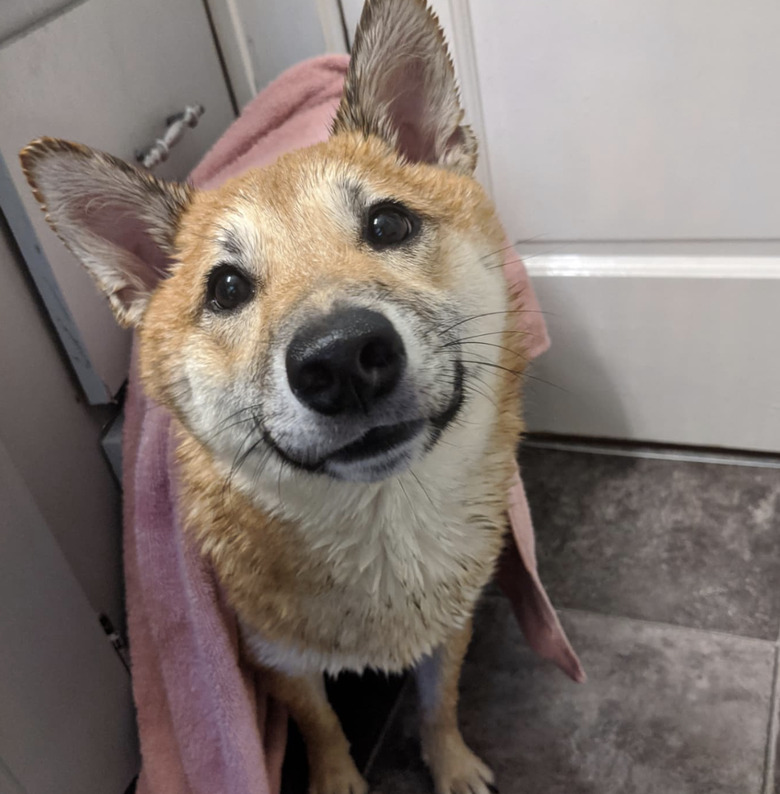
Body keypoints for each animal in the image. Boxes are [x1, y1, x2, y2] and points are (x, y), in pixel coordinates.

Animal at [19, 1, 532, 792]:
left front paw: (451, 763)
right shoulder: (275, 657)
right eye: (226, 288)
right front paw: (339, 781)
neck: (382, 530)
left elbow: (439, 700)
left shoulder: (451, 620)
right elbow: (321, 730)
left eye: (389, 223)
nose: (343, 358)